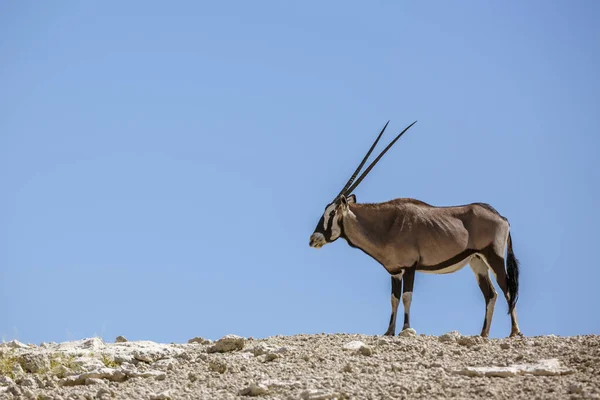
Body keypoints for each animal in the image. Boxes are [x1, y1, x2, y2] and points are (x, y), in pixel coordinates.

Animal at [310, 121, 520, 338]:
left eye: (331, 213)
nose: (313, 239)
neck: (386, 225)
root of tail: (501, 217)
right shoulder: (395, 271)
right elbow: (393, 298)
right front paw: (389, 331)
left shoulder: (410, 266)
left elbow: (406, 296)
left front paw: (405, 329)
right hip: (477, 261)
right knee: (491, 294)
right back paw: (483, 334)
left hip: (494, 256)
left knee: (507, 288)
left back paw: (514, 332)